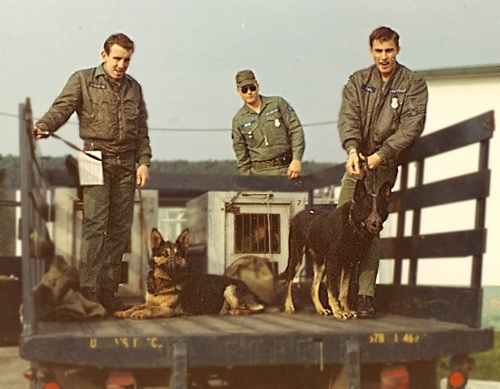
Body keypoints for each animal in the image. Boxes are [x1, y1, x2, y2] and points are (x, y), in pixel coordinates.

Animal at [112, 229, 262, 316]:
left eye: (178, 255)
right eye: (165, 254)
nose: (173, 267)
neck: (163, 283)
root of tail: (253, 293)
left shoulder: (169, 309)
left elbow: (151, 309)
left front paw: (141, 313)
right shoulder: (149, 302)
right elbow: (137, 306)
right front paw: (125, 312)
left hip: (230, 288)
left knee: (251, 309)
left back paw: (235, 311)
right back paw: (226, 310)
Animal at [282, 171, 390, 320]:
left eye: (380, 209)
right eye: (367, 208)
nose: (377, 224)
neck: (352, 226)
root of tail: (298, 215)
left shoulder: (349, 264)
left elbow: (343, 291)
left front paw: (347, 310)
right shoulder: (333, 262)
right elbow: (333, 290)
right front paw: (338, 311)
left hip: (321, 263)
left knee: (313, 288)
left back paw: (321, 309)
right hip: (297, 257)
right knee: (289, 280)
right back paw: (289, 305)